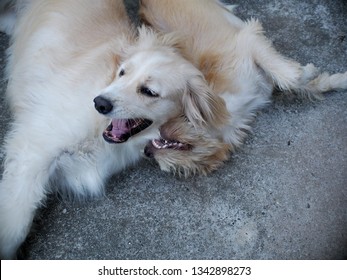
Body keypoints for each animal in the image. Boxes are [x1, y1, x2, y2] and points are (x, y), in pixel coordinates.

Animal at [0, 0, 226, 260]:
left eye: (149, 91)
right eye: (122, 72)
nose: (99, 103)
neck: (99, 136)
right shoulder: (33, 149)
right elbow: (15, 227)